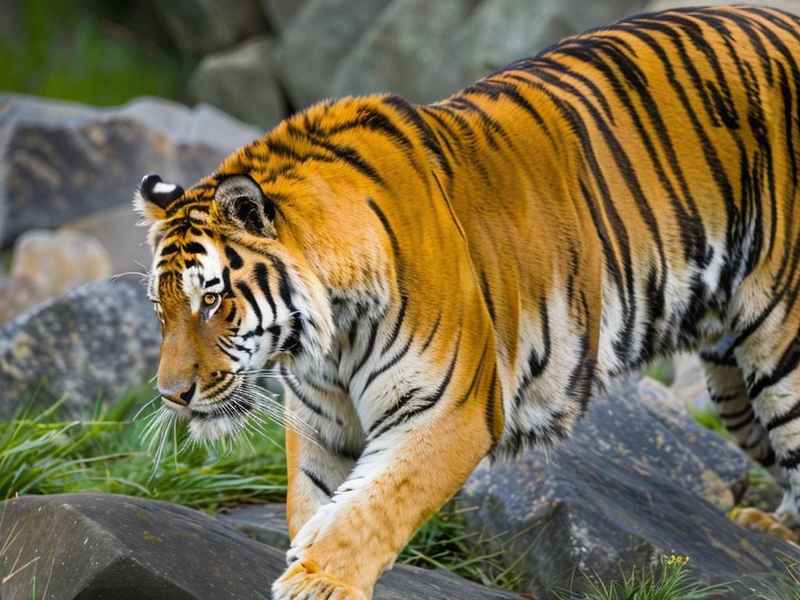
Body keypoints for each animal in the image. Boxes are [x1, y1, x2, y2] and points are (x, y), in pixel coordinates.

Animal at [136, 4, 800, 598]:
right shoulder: (321, 421)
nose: (172, 395)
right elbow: (316, 504)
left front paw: (320, 581)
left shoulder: (448, 408)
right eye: (161, 309)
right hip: (730, 379)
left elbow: (375, 505)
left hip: (781, 343)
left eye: (212, 301)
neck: (329, 333)